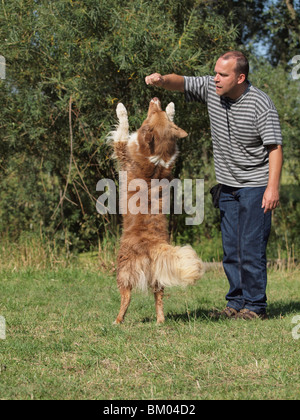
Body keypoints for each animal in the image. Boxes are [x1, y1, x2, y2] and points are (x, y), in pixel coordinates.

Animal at [109, 97, 205, 324]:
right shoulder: (170, 161)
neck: (157, 156)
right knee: (159, 295)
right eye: (156, 110)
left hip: (123, 270)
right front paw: (171, 108)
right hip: (156, 276)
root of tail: (152, 244)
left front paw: (121, 109)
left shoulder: (122, 149)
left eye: (151, 113)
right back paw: (160, 321)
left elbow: (123, 126)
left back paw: (117, 321)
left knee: (126, 296)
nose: (156, 99)